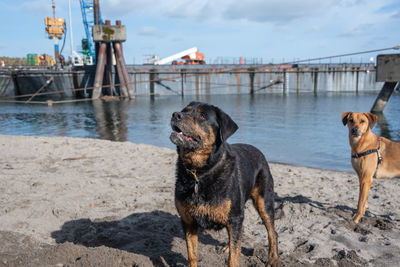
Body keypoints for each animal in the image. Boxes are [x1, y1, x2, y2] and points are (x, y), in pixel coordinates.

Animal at [170, 101, 280, 266]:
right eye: (185, 110)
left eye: (202, 116)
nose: (176, 114)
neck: (199, 172)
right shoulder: (188, 220)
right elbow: (192, 254)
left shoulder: (234, 217)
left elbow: (233, 258)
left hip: (264, 200)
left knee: (272, 231)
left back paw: (274, 258)